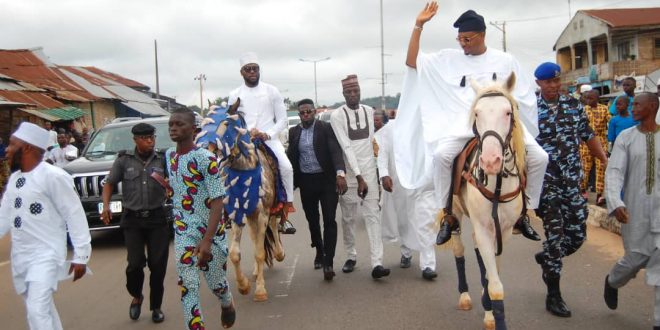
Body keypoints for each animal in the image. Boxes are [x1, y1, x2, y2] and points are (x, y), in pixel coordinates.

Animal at [440, 73, 528, 330]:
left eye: (508, 112)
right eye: (477, 114)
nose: (490, 162)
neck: (497, 184)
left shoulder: (504, 231)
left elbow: (491, 276)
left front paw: (488, 308)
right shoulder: (483, 227)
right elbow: (496, 286)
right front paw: (491, 311)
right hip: (457, 213)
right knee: (460, 250)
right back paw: (465, 296)